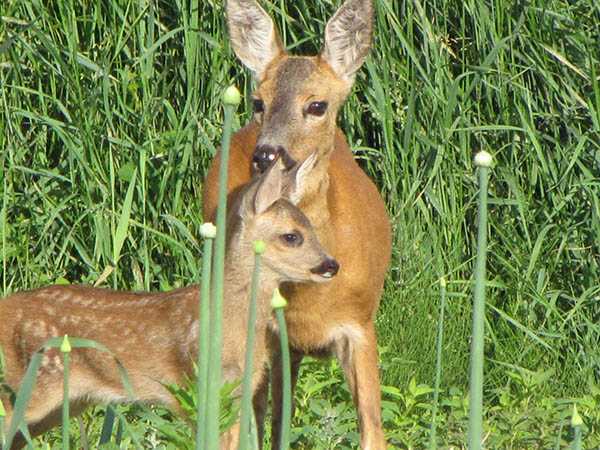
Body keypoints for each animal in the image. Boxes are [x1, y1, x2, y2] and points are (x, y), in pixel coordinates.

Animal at [202, 1, 392, 448]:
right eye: (259, 102)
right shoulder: (265, 333)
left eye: (317, 105)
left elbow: (372, 428)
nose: (267, 155)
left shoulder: (360, 324)